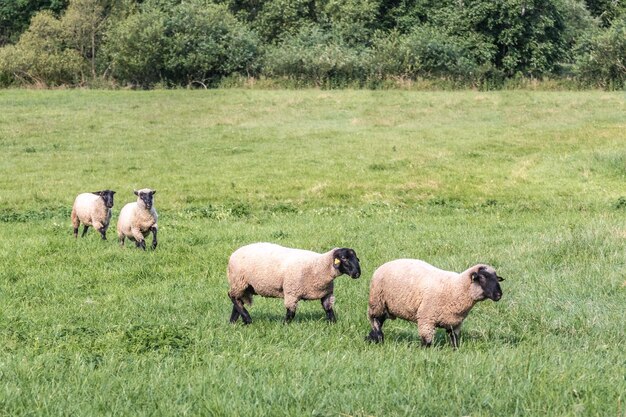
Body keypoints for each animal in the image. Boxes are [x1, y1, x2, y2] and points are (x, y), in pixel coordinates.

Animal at [227, 242, 360, 324]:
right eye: (344, 258)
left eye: (357, 259)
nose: (357, 274)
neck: (319, 266)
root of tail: (234, 253)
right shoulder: (292, 292)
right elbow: (291, 313)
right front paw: (284, 325)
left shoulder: (326, 294)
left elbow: (329, 310)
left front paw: (333, 324)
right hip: (238, 281)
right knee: (232, 296)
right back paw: (247, 319)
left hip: (245, 285)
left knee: (238, 301)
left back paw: (235, 322)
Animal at [366, 260, 502, 348]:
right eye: (482, 278)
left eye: (497, 278)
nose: (499, 295)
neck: (456, 287)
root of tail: (383, 265)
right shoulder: (426, 319)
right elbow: (427, 342)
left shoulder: (455, 323)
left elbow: (454, 341)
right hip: (377, 302)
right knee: (375, 320)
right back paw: (379, 338)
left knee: (378, 322)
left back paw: (371, 338)